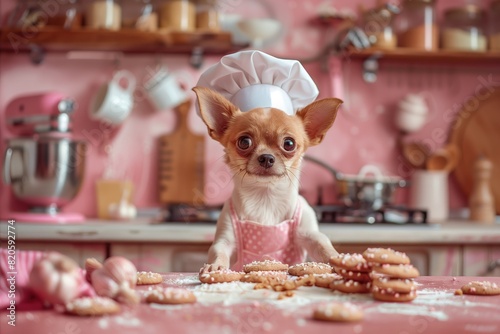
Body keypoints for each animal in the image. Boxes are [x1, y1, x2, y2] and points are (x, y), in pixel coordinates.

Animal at [193, 86, 342, 272]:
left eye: (289, 144)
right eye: (244, 142)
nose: (266, 157)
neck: (266, 197)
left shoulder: (310, 235)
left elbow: (322, 244)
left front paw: (337, 257)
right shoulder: (224, 239)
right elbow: (218, 251)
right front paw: (216, 266)